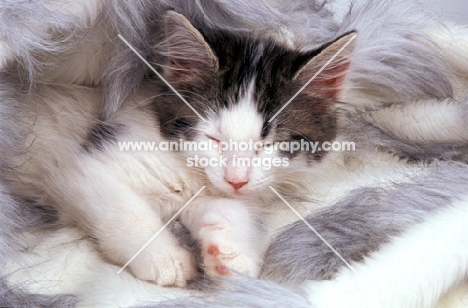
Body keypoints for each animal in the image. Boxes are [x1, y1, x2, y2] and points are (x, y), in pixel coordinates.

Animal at [3, 11, 354, 286]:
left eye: (270, 145)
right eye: (213, 138)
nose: (237, 179)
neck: (188, 170)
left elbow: (231, 209)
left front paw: (232, 253)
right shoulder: (85, 167)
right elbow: (124, 210)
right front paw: (165, 258)